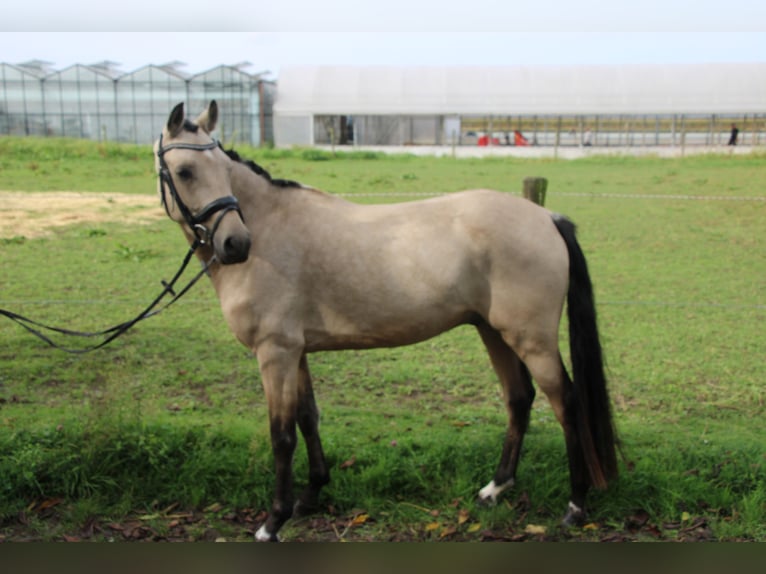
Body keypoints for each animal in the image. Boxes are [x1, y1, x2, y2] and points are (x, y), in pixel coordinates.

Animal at [154, 101, 616, 544]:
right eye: (185, 170)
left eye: (222, 170)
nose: (235, 244)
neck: (271, 231)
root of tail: (547, 218)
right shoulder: (295, 352)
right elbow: (308, 417)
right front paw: (311, 496)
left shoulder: (275, 353)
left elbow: (282, 436)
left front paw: (274, 521)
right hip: (494, 332)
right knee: (519, 398)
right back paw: (495, 488)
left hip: (532, 340)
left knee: (566, 402)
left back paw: (575, 506)